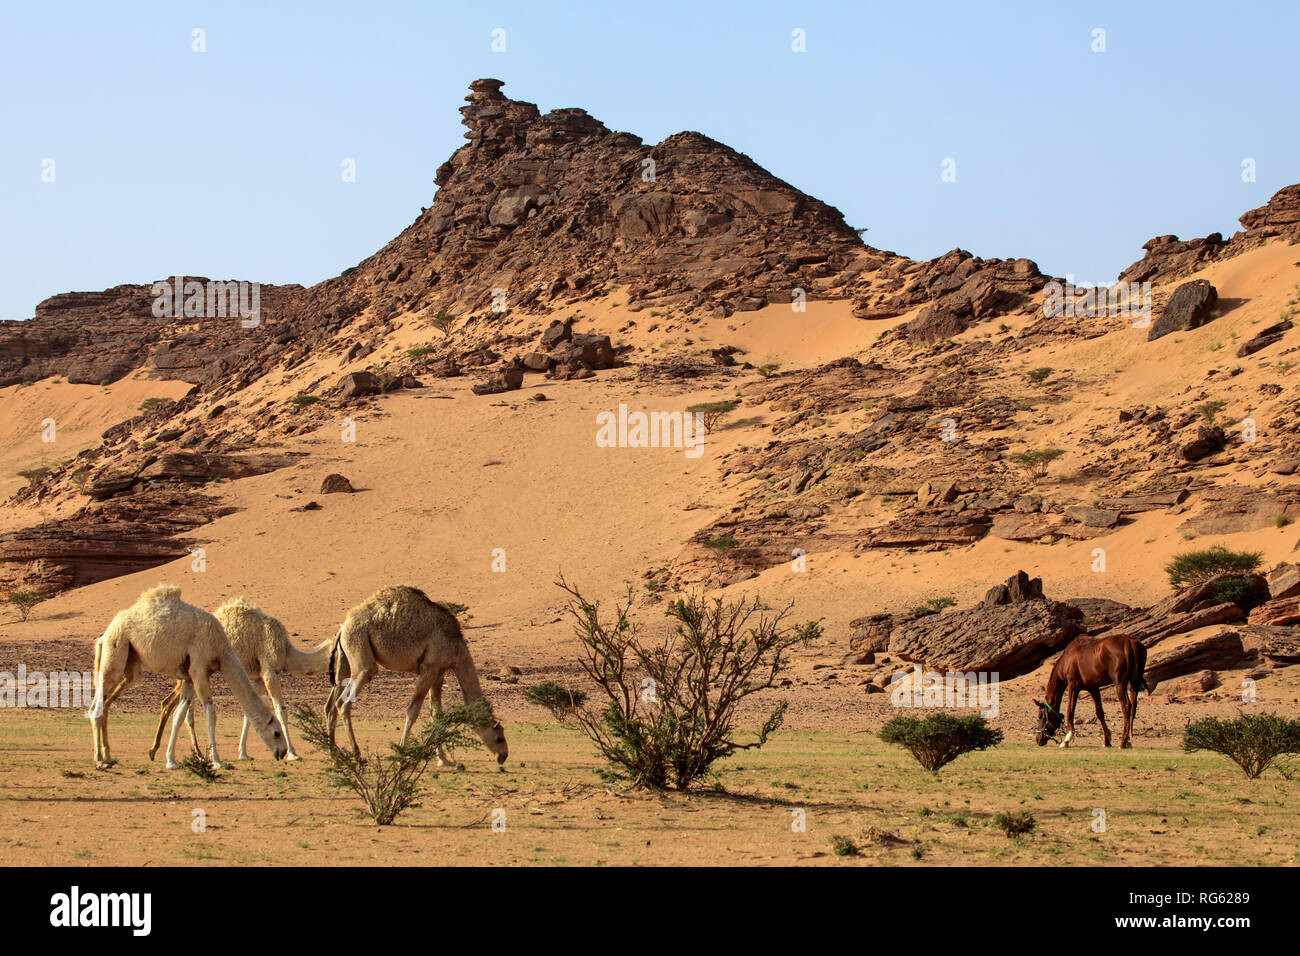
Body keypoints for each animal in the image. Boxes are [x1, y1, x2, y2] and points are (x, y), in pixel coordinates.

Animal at [87, 582, 288, 770]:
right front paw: (216, 761)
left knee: (107, 700)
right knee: (97, 704)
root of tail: (104, 635)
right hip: (116, 648)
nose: (283, 752)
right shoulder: (199, 668)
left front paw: (171, 761)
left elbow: (179, 714)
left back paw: (108, 757)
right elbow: (209, 712)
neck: (222, 650)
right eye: (276, 733)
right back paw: (99, 761)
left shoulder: (189, 677)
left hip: (131, 665)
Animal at [148, 598, 335, 764]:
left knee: (172, 703)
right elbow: (281, 710)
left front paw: (243, 753)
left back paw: (164, 752)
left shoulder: (257, 677)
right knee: (176, 705)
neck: (288, 652)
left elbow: (248, 715)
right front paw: (293, 754)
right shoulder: (269, 670)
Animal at [322, 587, 509, 764]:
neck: (456, 647)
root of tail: (342, 628)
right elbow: (413, 711)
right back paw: (357, 755)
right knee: (344, 702)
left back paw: (335, 757)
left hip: (345, 658)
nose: (503, 756)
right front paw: (402, 754)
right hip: (360, 649)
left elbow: (436, 713)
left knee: (331, 704)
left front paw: (443, 759)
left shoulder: (439, 671)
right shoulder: (429, 668)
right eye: (499, 738)